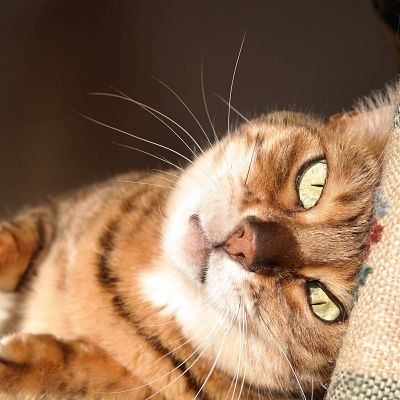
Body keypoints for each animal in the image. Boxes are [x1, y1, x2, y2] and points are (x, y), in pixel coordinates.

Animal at [0, 82, 396, 400]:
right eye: (314, 181)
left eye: (323, 303)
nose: (246, 243)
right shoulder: (54, 214)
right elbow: (13, 239)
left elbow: (86, 375)